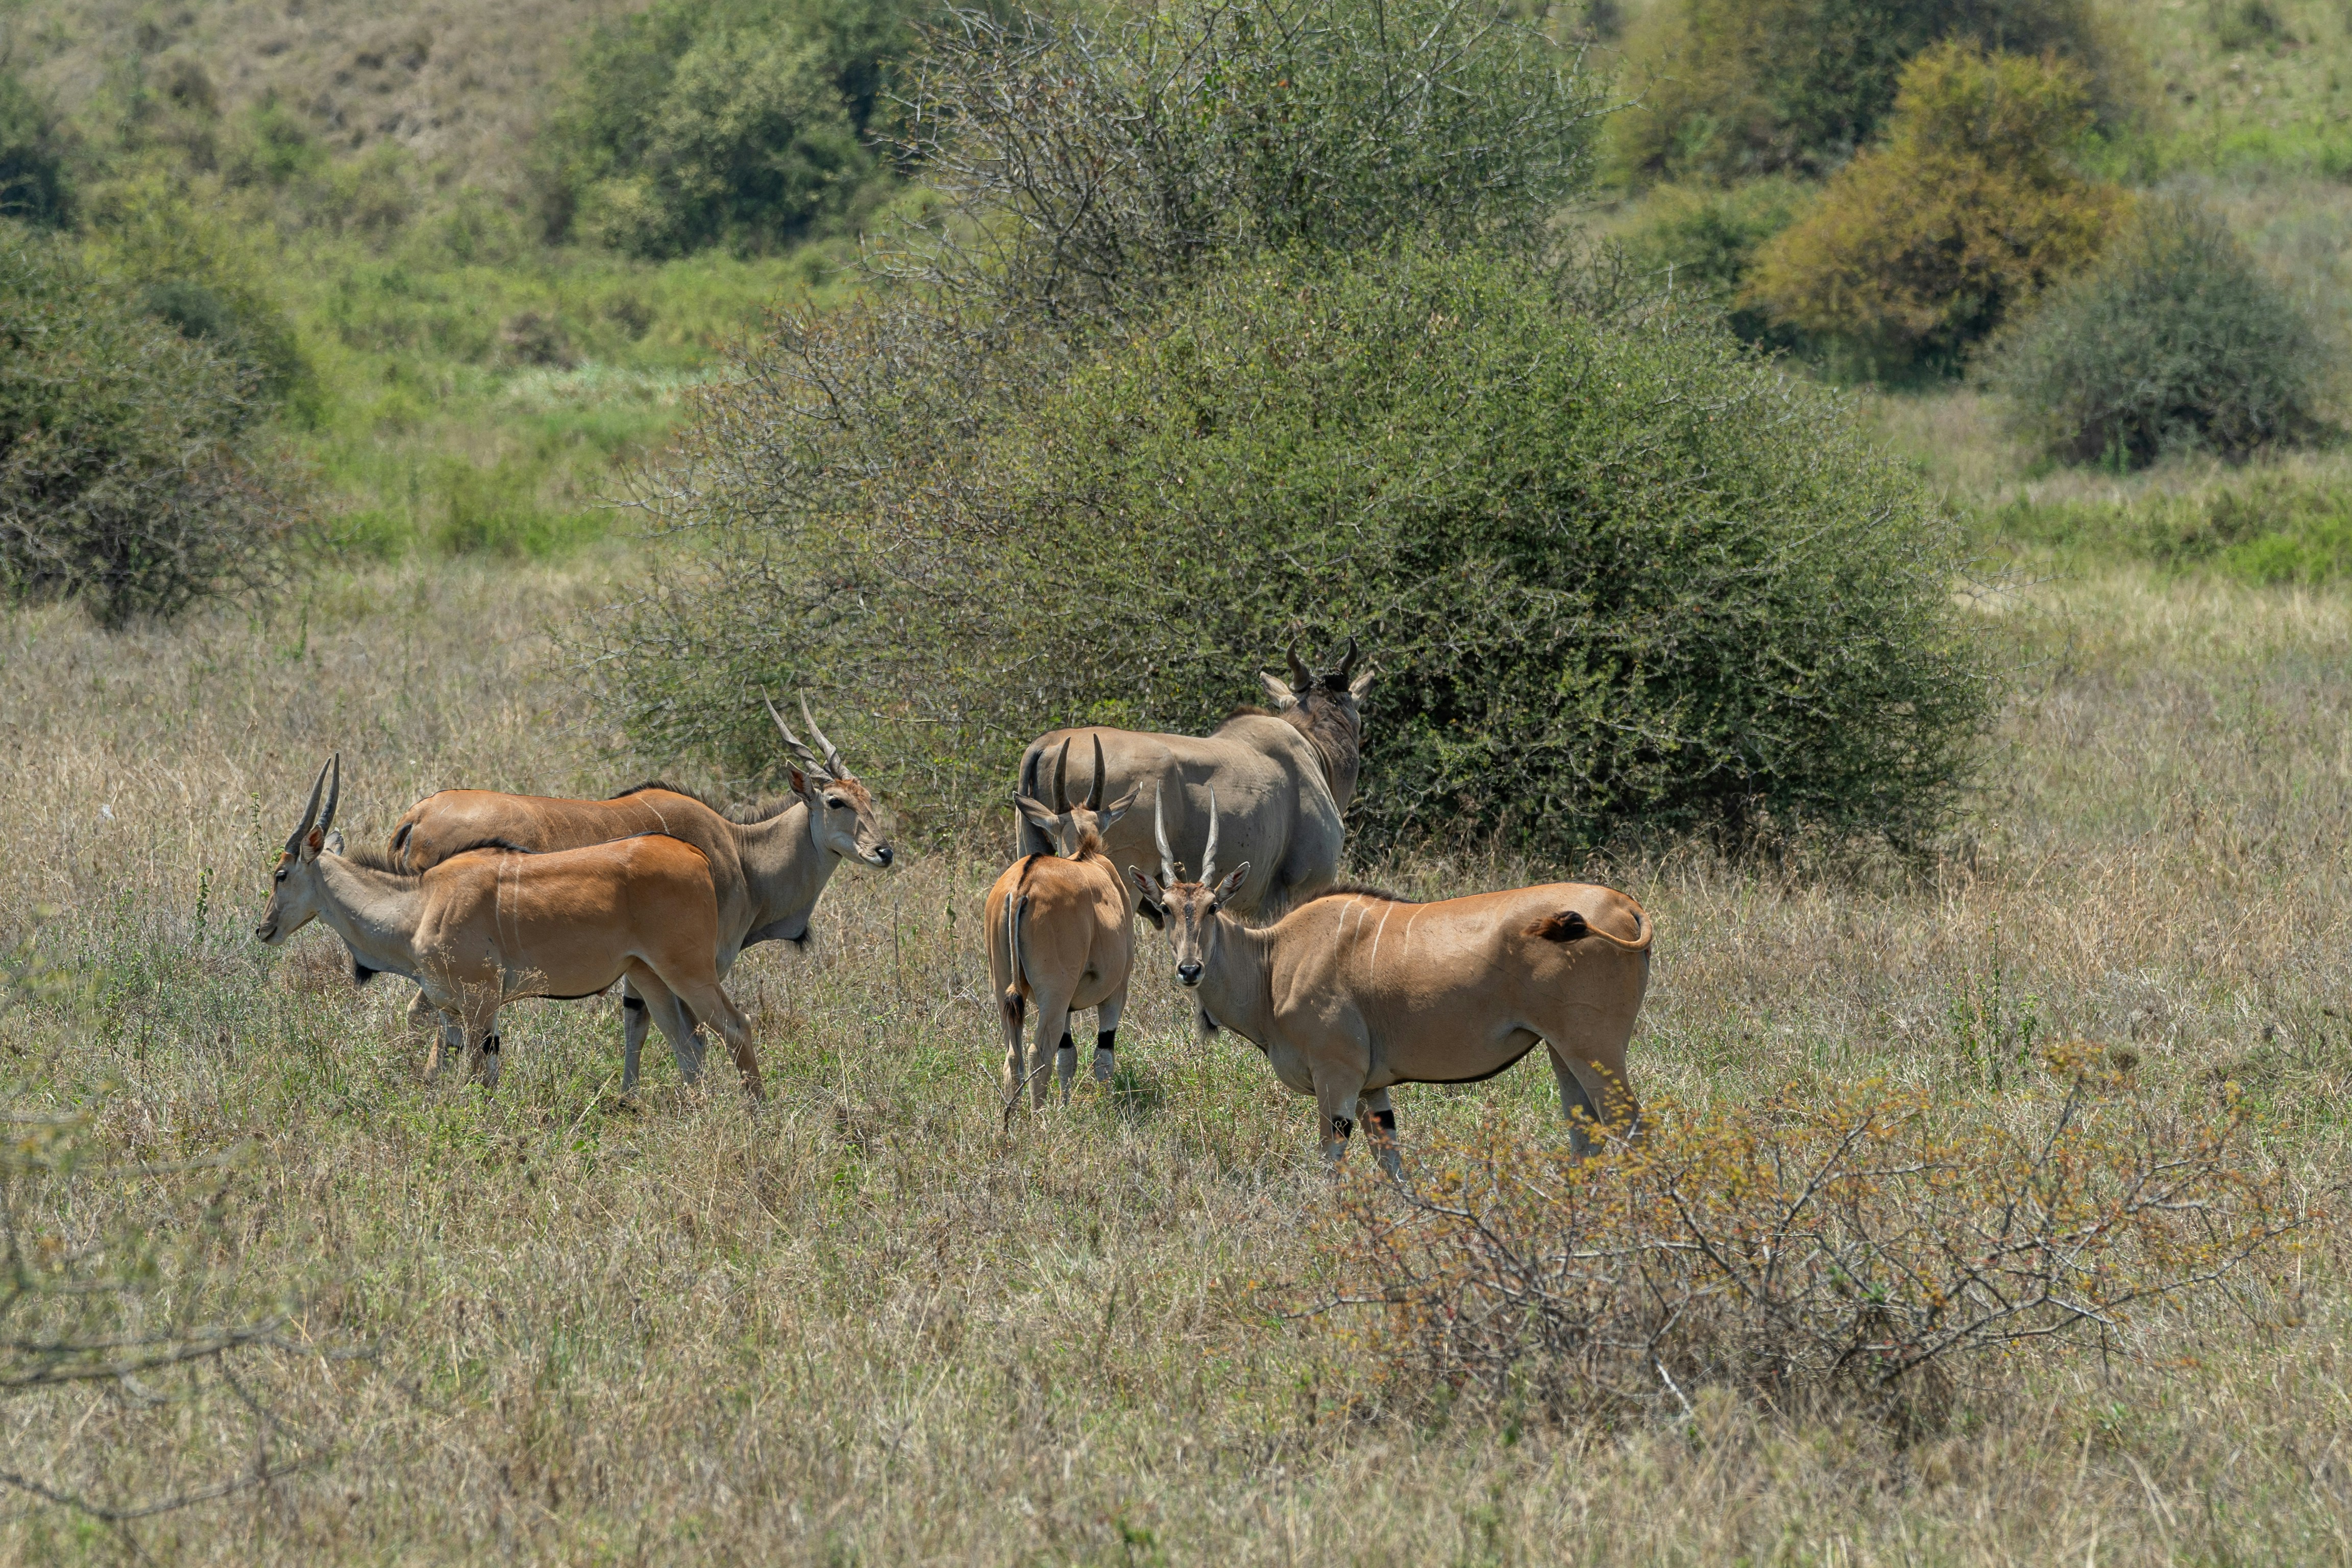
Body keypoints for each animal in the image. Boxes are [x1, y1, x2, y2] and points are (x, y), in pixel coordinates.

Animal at [254, 756, 764, 1098]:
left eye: (280, 874)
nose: (264, 930)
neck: (421, 902)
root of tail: (695, 855)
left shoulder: (480, 1002)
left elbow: (477, 1078)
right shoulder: (455, 1010)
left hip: (688, 971)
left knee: (735, 1028)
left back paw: (754, 1114)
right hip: (649, 976)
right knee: (688, 1048)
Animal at [384, 697, 891, 1091]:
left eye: (871, 800)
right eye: (836, 802)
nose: (884, 851)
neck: (742, 854)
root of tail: (417, 816)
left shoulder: (642, 965)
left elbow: (639, 1025)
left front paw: (630, 1097)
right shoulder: (686, 963)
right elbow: (685, 1036)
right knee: (429, 1019)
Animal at [986, 736, 1140, 1114]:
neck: (1087, 856)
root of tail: (1022, 886)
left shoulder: (1068, 1005)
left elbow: (1067, 1057)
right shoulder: (1115, 992)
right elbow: (1102, 1057)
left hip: (1006, 990)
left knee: (1013, 1056)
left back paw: (1010, 1119)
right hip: (1054, 994)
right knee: (1037, 1052)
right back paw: (1038, 1118)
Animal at [1130, 793, 1651, 1173]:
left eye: (1213, 906)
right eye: (1167, 909)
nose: (1190, 970)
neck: (1274, 960)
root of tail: (1627, 905)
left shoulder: (1337, 1078)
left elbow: (1333, 1165)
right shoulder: (1372, 1091)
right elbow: (1393, 1167)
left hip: (1593, 1048)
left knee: (1631, 1129)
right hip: (1562, 1052)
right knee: (1587, 1136)